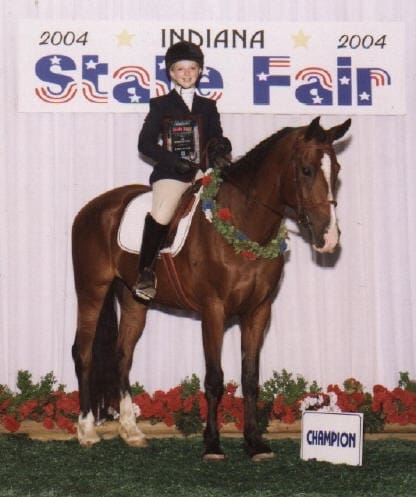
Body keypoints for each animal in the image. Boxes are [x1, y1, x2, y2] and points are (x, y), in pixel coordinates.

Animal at [71, 117, 352, 462]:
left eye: (336, 169)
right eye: (307, 170)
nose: (329, 238)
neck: (244, 225)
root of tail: (93, 208)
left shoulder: (258, 311)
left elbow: (250, 379)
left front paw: (255, 443)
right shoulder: (213, 309)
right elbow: (215, 379)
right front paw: (213, 444)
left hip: (133, 298)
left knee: (122, 356)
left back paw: (131, 431)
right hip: (91, 290)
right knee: (83, 353)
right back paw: (86, 431)